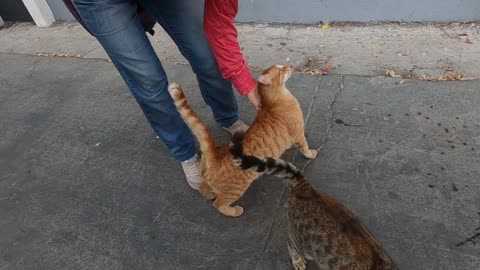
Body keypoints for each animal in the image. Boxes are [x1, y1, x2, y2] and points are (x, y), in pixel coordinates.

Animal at [167, 63, 316, 217]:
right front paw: (311, 154)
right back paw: (234, 211)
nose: (289, 66)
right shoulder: (299, 134)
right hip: (235, 191)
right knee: (218, 204)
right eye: (281, 69)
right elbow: (305, 147)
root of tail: (215, 156)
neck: (274, 101)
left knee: (204, 189)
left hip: (209, 180)